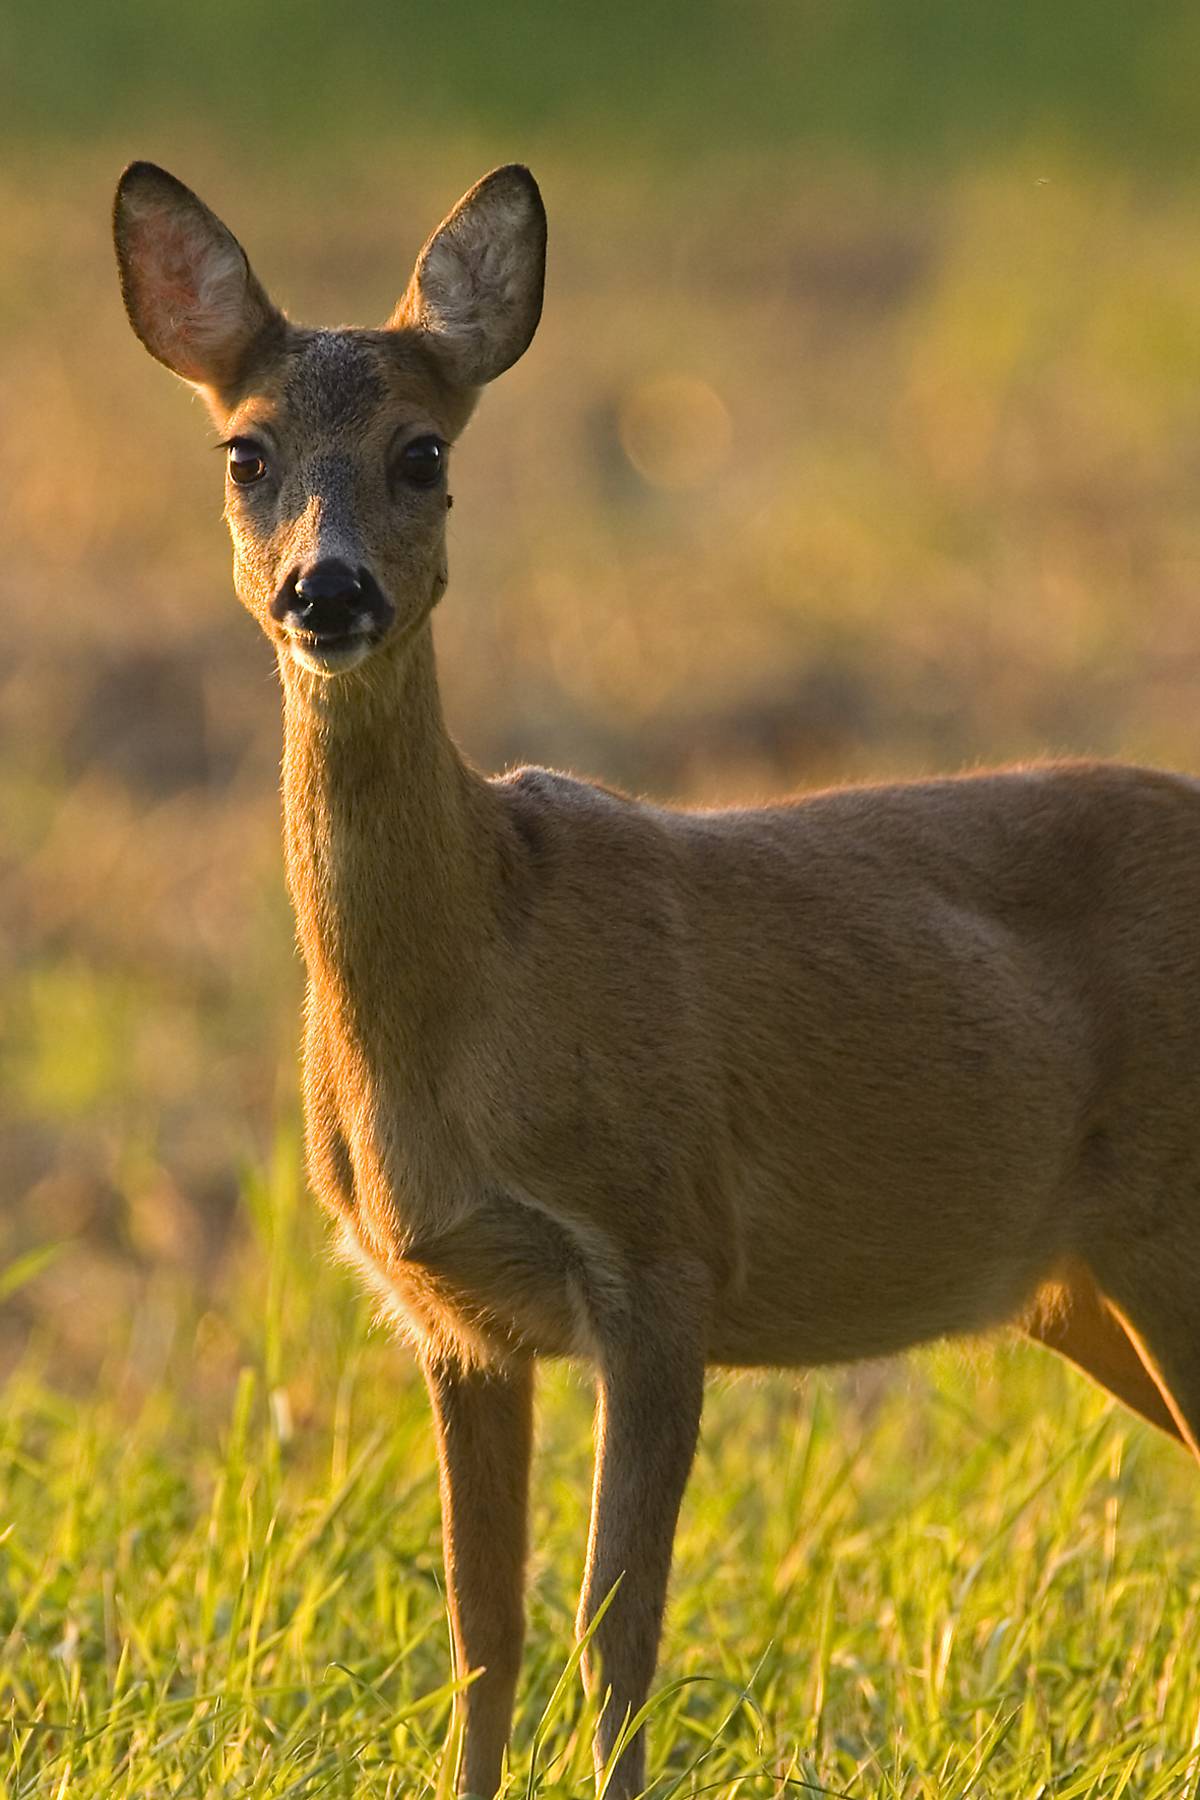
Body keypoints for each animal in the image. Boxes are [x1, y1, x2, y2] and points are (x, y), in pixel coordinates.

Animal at [115, 165, 1200, 1800]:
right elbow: (481, 1631)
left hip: (1173, 1230)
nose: (327, 589)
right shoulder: (452, 1313)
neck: (471, 988)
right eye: (244, 454)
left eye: (424, 452)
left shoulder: (663, 1249)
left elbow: (614, 1628)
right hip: (1085, 1290)